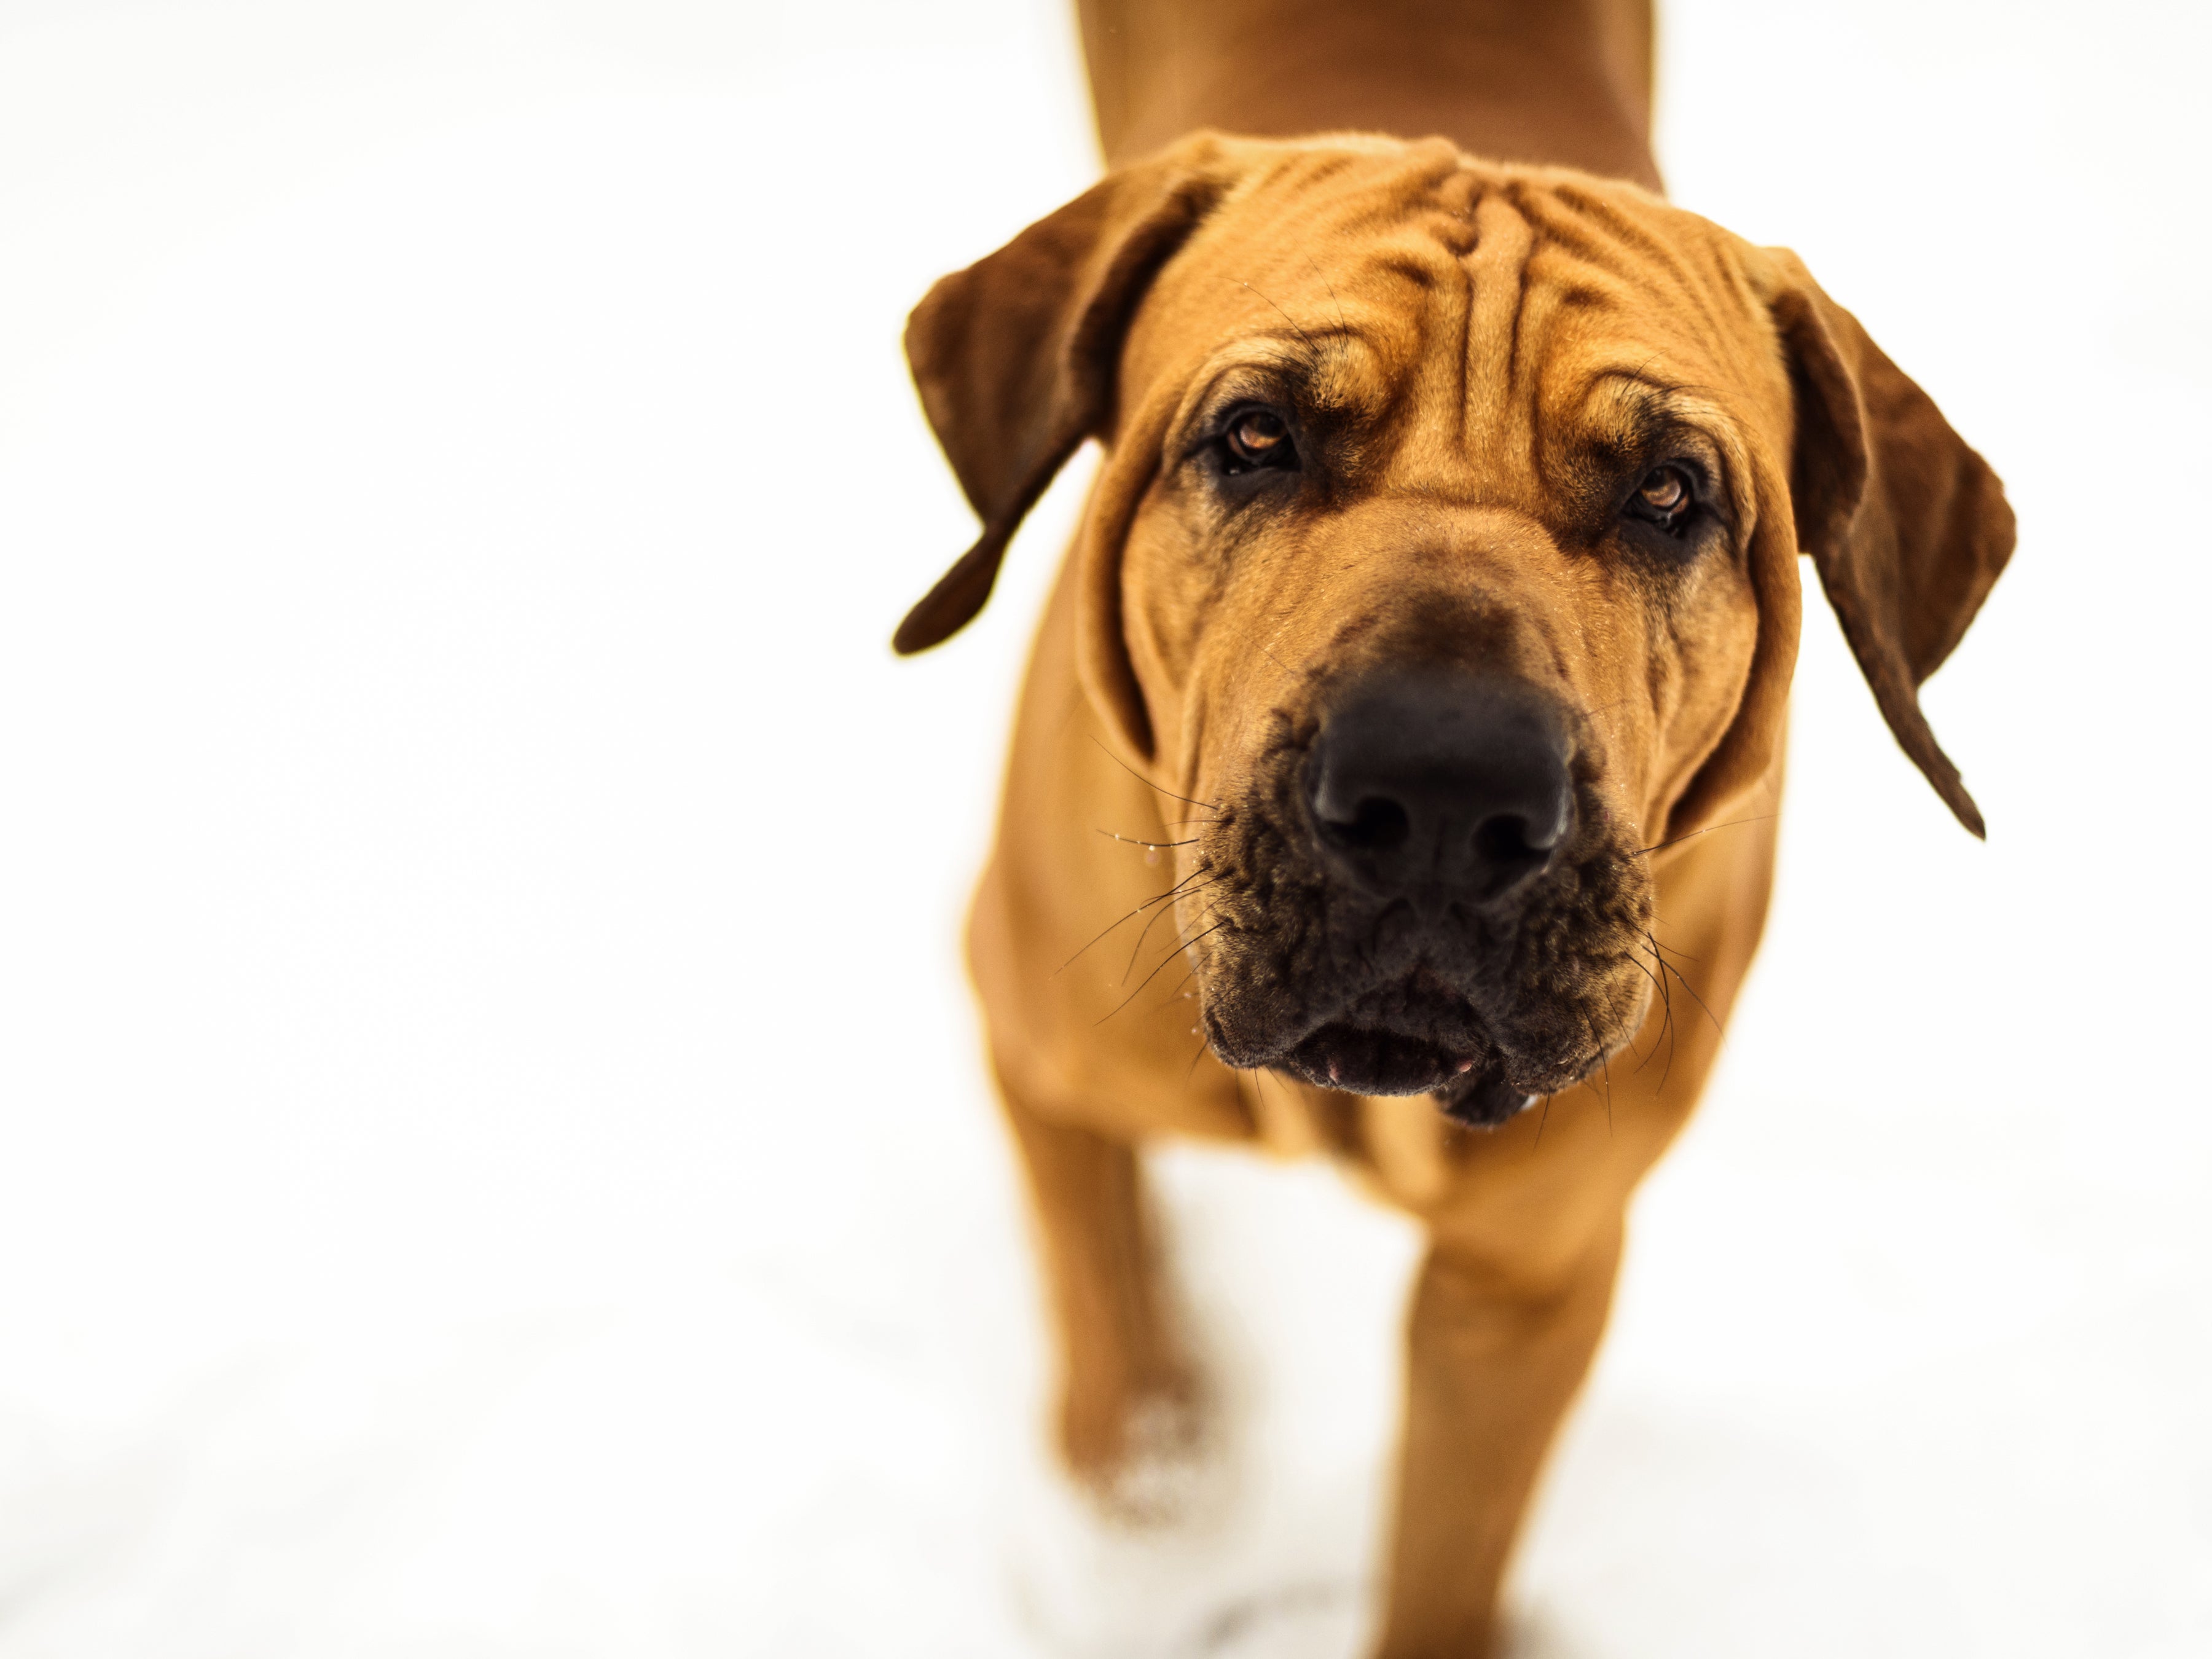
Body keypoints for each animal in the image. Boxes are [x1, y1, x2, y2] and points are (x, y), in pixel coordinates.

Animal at [889, 6, 2017, 1654]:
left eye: (1670, 491)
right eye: (1255, 435)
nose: (1440, 795)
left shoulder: (1532, 1273)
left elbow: (1444, 1551)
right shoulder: (1033, 1041)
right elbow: (1107, 1306)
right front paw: (1149, 1519)